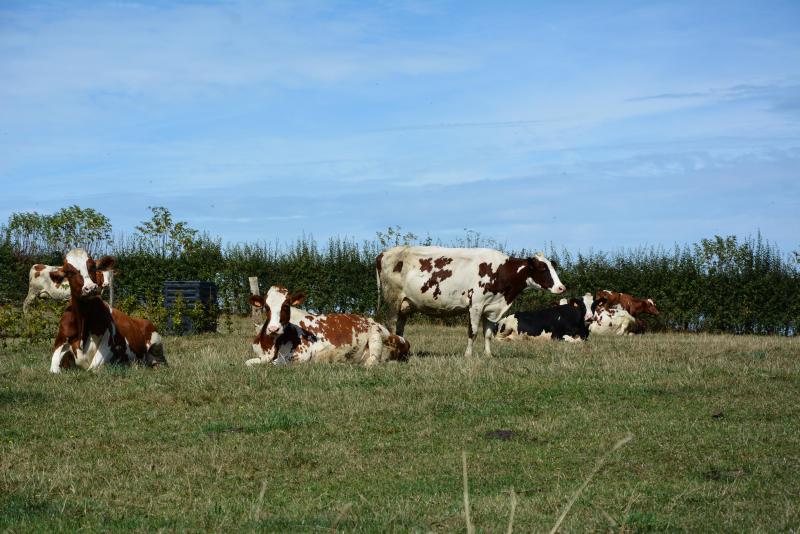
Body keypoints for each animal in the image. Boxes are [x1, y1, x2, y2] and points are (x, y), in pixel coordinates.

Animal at [247, 284, 410, 368]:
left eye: (286, 305)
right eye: (266, 307)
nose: (273, 328)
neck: (271, 346)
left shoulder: (301, 355)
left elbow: (276, 363)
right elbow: (248, 362)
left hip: (376, 335)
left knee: (372, 361)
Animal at [376, 248, 564, 360]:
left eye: (553, 268)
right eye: (543, 269)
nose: (561, 287)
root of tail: (384, 253)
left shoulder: (491, 308)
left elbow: (488, 334)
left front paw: (488, 355)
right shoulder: (476, 305)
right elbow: (472, 332)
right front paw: (468, 355)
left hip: (405, 305)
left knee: (400, 329)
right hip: (393, 300)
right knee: (391, 326)